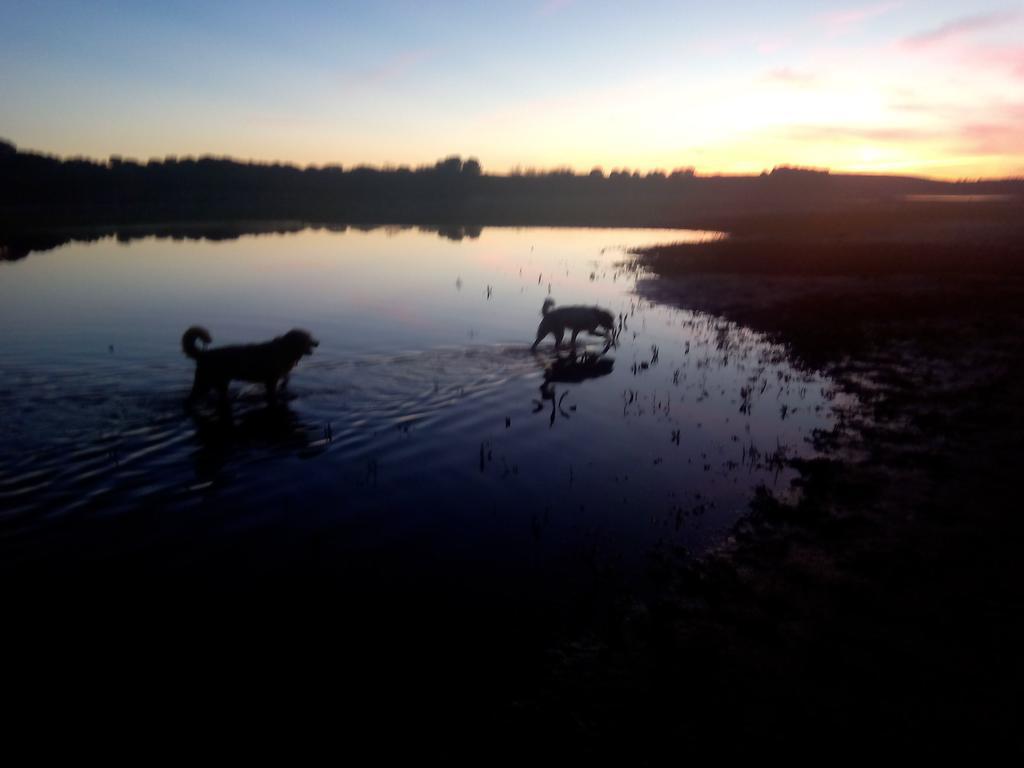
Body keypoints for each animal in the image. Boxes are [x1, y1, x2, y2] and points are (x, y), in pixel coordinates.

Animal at [180, 325, 315, 405]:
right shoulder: (271, 381)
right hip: (205, 383)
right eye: (307, 338)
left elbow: (285, 380)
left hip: (219, 384)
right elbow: (272, 393)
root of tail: (203, 354)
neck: (284, 349)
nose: (317, 342)